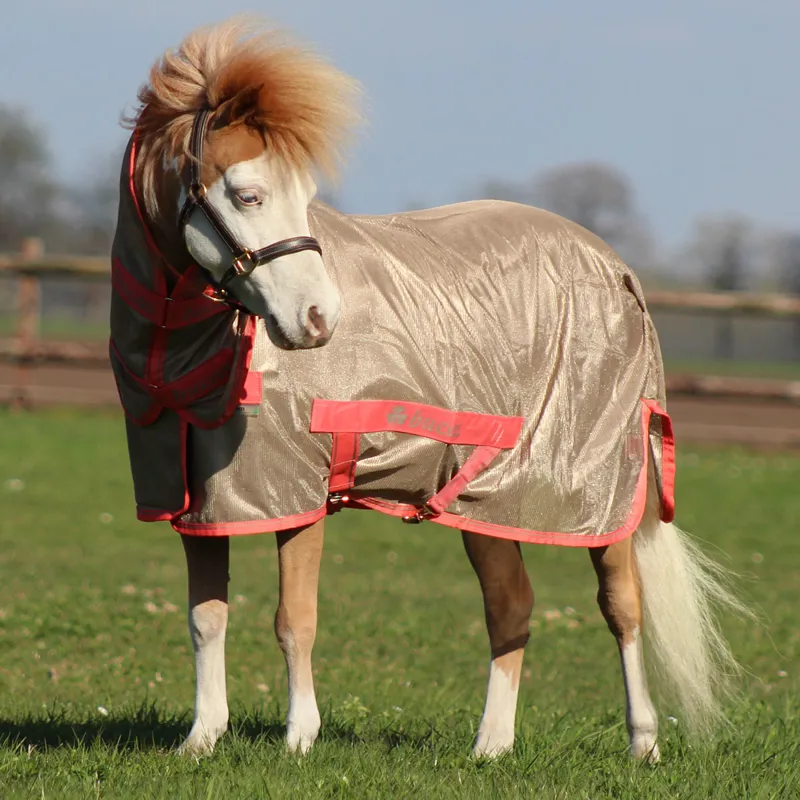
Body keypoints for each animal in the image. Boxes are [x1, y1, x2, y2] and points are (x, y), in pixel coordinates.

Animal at [110, 17, 748, 761]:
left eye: (304, 194)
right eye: (248, 194)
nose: (319, 320)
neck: (182, 350)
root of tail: (618, 271)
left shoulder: (297, 495)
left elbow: (294, 618)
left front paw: (299, 739)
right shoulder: (205, 504)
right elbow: (206, 617)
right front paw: (202, 739)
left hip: (597, 497)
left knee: (622, 605)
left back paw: (642, 742)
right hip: (488, 499)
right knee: (512, 606)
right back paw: (491, 747)